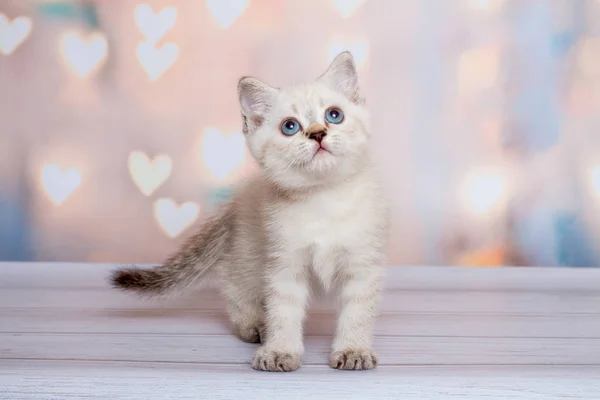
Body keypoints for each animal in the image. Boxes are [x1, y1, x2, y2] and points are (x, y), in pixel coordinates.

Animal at [111, 52, 390, 372]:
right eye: (290, 127)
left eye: (334, 115)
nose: (318, 133)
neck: (322, 197)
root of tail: (237, 200)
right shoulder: (284, 264)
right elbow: (283, 312)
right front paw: (280, 351)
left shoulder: (363, 266)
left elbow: (357, 314)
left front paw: (353, 350)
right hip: (249, 255)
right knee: (235, 286)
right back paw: (254, 326)